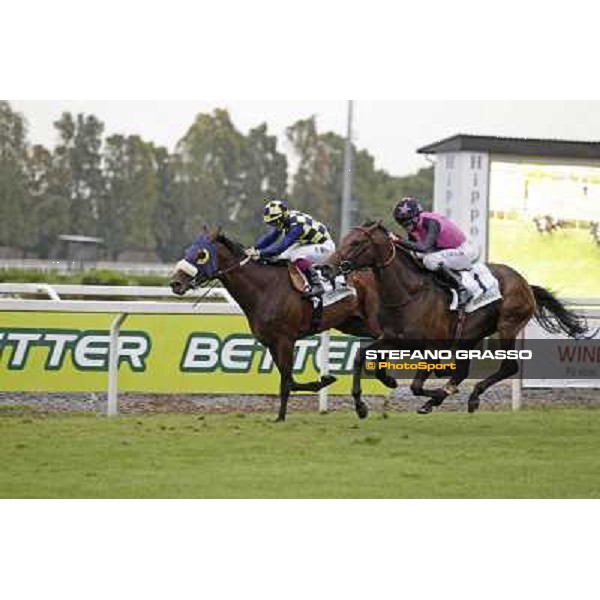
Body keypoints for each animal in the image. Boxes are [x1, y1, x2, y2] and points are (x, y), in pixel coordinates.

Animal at [169, 227, 396, 420]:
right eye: (188, 250)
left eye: (201, 254)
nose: (175, 283)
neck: (264, 288)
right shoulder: (271, 342)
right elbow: (290, 381)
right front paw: (321, 382)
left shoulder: (285, 340)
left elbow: (287, 381)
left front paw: (282, 416)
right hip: (354, 323)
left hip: (374, 323)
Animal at [326, 220, 588, 418]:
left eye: (357, 242)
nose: (328, 267)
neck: (409, 293)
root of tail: (525, 283)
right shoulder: (393, 338)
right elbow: (362, 355)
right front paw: (362, 403)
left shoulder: (431, 349)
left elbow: (416, 386)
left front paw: (438, 391)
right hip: (469, 338)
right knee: (463, 371)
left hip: (508, 325)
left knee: (508, 366)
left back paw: (468, 396)